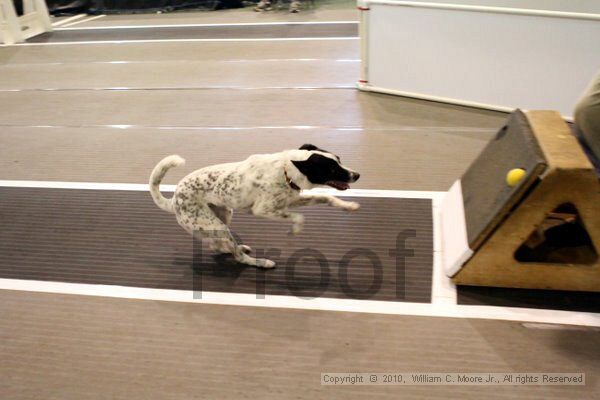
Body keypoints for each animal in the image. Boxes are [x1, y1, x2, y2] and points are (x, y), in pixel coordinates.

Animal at [150, 145, 360, 268]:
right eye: (331, 169)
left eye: (339, 160)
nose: (357, 175)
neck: (286, 170)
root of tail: (173, 200)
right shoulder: (264, 210)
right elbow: (299, 217)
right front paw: (295, 230)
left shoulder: (291, 200)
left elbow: (326, 197)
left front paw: (348, 206)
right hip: (215, 224)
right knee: (236, 256)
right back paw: (261, 262)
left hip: (224, 215)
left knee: (217, 245)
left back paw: (237, 247)